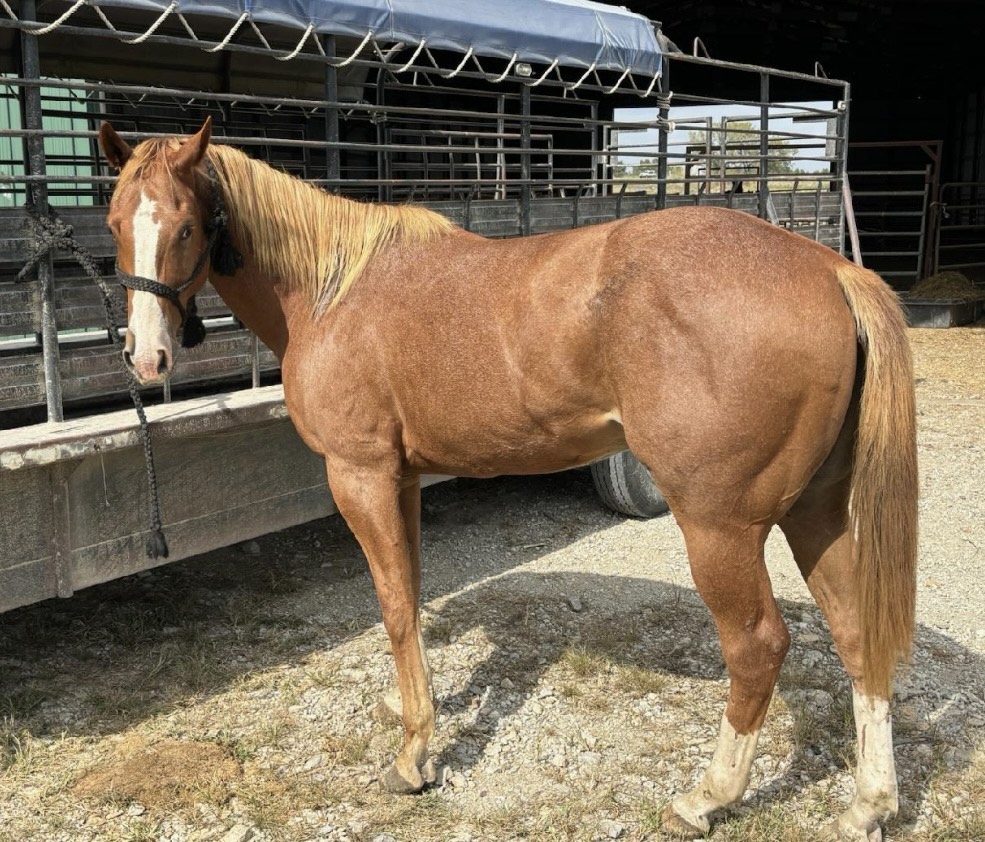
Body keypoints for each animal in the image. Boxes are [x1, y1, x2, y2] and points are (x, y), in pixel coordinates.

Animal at [98, 118, 917, 840]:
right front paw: (412, 712)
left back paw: (704, 798)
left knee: (756, 648)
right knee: (855, 633)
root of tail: (828, 268)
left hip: (719, 526)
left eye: (187, 227)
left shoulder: (360, 476)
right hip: (815, 513)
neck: (334, 289)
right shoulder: (401, 480)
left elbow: (393, 607)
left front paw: (414, 755)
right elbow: (411, 592)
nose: (146, 357)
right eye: (112, 223)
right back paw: (866, 807)